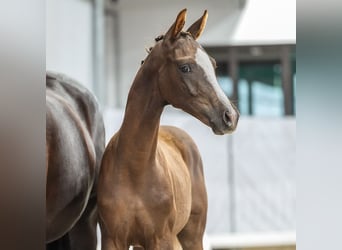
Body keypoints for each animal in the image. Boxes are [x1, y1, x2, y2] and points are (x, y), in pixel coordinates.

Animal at [97, 8, 239, 249]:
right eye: (185, 67)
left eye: (213, 65)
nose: (230, 116)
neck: (135, 170)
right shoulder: (112, 240)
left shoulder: (162, 239)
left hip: (192, 236)